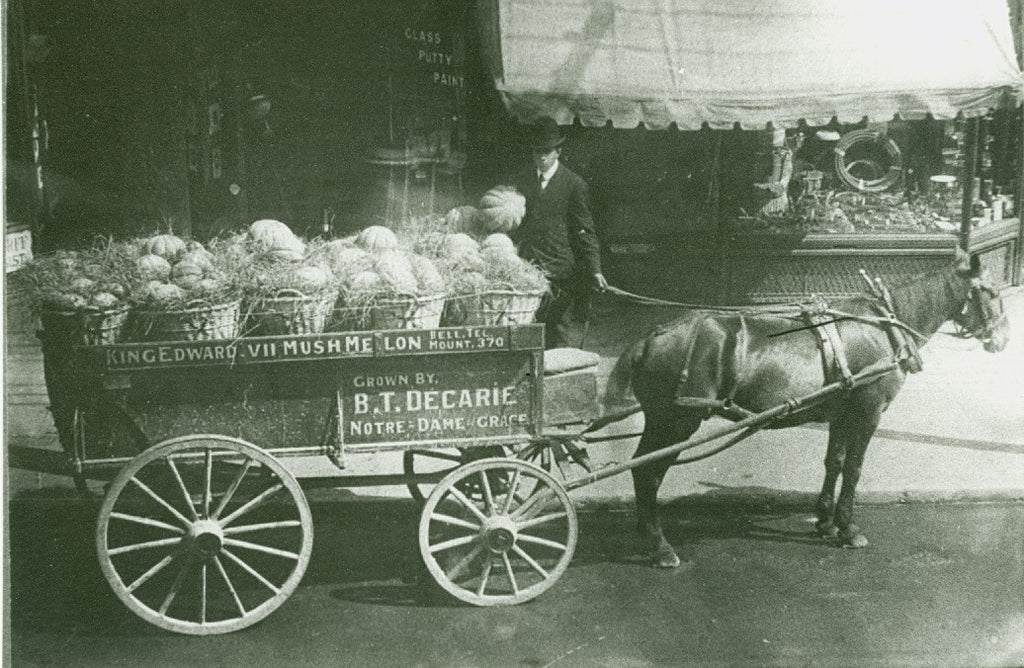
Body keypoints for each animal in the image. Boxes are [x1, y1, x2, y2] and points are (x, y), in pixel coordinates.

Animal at [602, 252, 1011, 569]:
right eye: (991, 292)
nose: (1003, 339)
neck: (883, 327)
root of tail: (650, 338)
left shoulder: (841, 412)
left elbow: (835, 462)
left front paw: (826, 521)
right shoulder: (867, 412)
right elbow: (854, 468)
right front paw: (848, 528)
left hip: (663, 420)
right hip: (675, 421)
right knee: (648, 474)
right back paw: (659, 546)